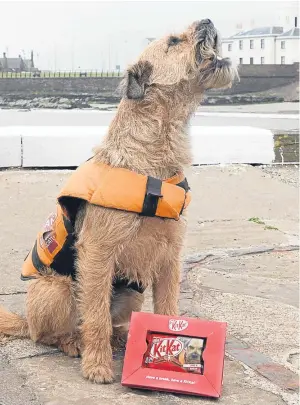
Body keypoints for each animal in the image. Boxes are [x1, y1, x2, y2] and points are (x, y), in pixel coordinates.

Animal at [0, 19, 237, 386]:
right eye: (173, 41)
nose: (208, 21)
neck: (151, 162)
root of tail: (26, 320)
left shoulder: (170, 257)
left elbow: (167, 306)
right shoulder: (98, 253)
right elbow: (95, 315)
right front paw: (97, 367)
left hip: (132, 293)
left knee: (109, 322)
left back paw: (121, 336)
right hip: (58, 290)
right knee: (53, 333)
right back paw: (75, 343)